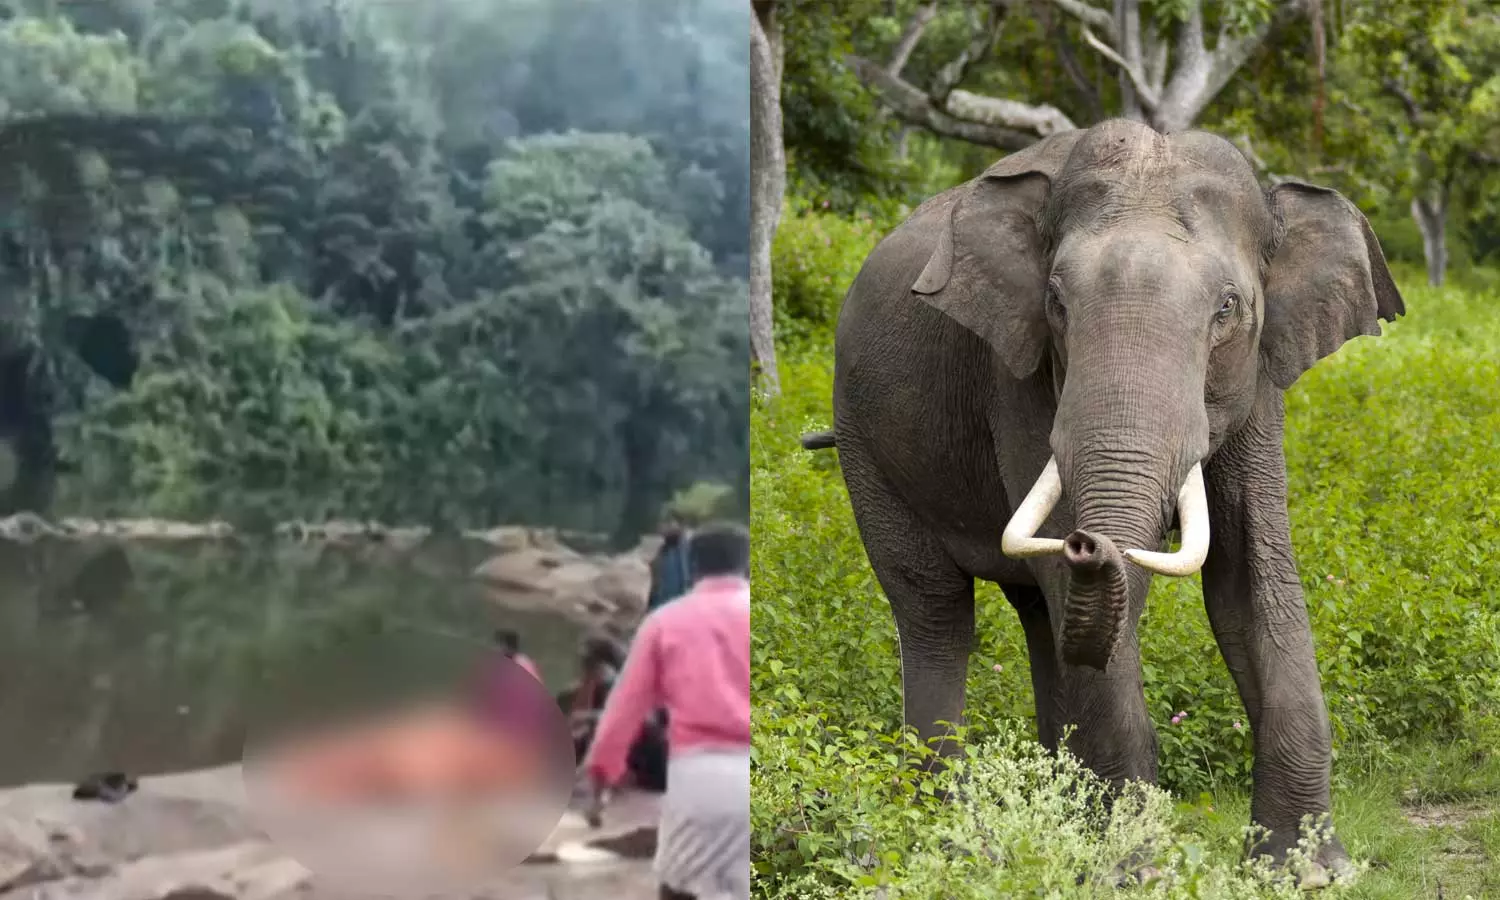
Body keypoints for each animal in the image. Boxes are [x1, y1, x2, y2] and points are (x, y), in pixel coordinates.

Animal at [798, 119, 1403, 884]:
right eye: (1057, 303)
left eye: (1228, 309)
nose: (1090, 542)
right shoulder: (1018, 376)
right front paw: (1132, 872)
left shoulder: (1261, 380)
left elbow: (1250, 580)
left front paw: (1309, 873)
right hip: (864, 443)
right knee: (935, 609)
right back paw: (957, 839)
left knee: (1038, 618)